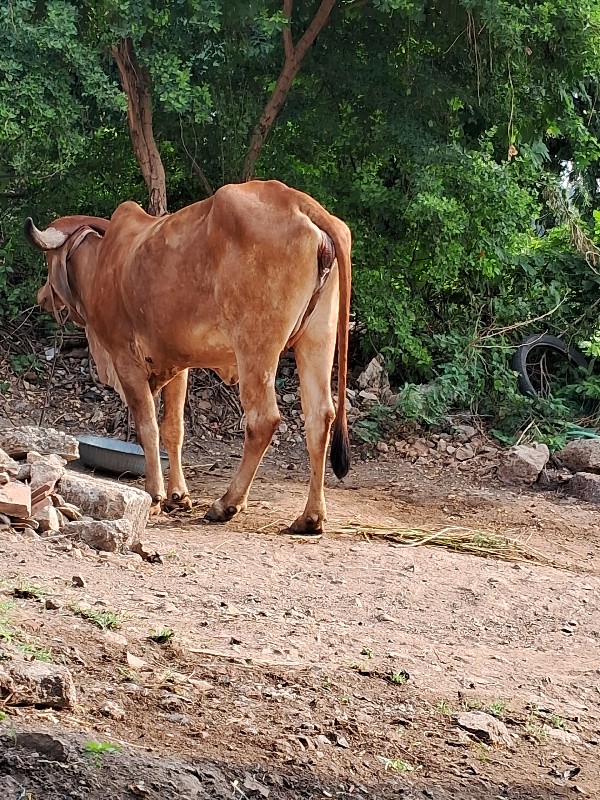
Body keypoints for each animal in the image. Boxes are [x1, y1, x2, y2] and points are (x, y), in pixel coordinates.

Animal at [25, 181, 350, 536]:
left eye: (47, 259)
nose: (42, 297)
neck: (102, 262)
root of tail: (299, 201)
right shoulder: (178, 363)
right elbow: (173, 429)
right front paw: (178, 495)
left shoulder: (125, 359)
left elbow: (148, 427)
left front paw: (155, 495)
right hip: (317, 339)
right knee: (320, 417)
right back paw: (310, 517)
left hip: (256, 348)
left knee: (263, 420)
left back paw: (227, 504)